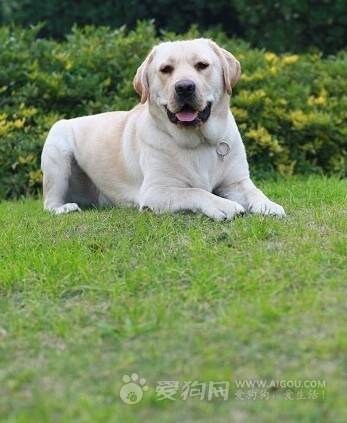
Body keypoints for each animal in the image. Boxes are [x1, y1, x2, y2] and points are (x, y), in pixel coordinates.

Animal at [40, 38, 286, 220]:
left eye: (202, 65)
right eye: (166, 69)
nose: (184, 87)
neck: (198, 141)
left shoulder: (236, 182)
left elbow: (255, 191)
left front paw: (268, 205)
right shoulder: (155, 191)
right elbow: (195, 192)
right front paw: (224, 206)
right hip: (57, 153)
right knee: (49, 202)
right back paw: (64, 208)